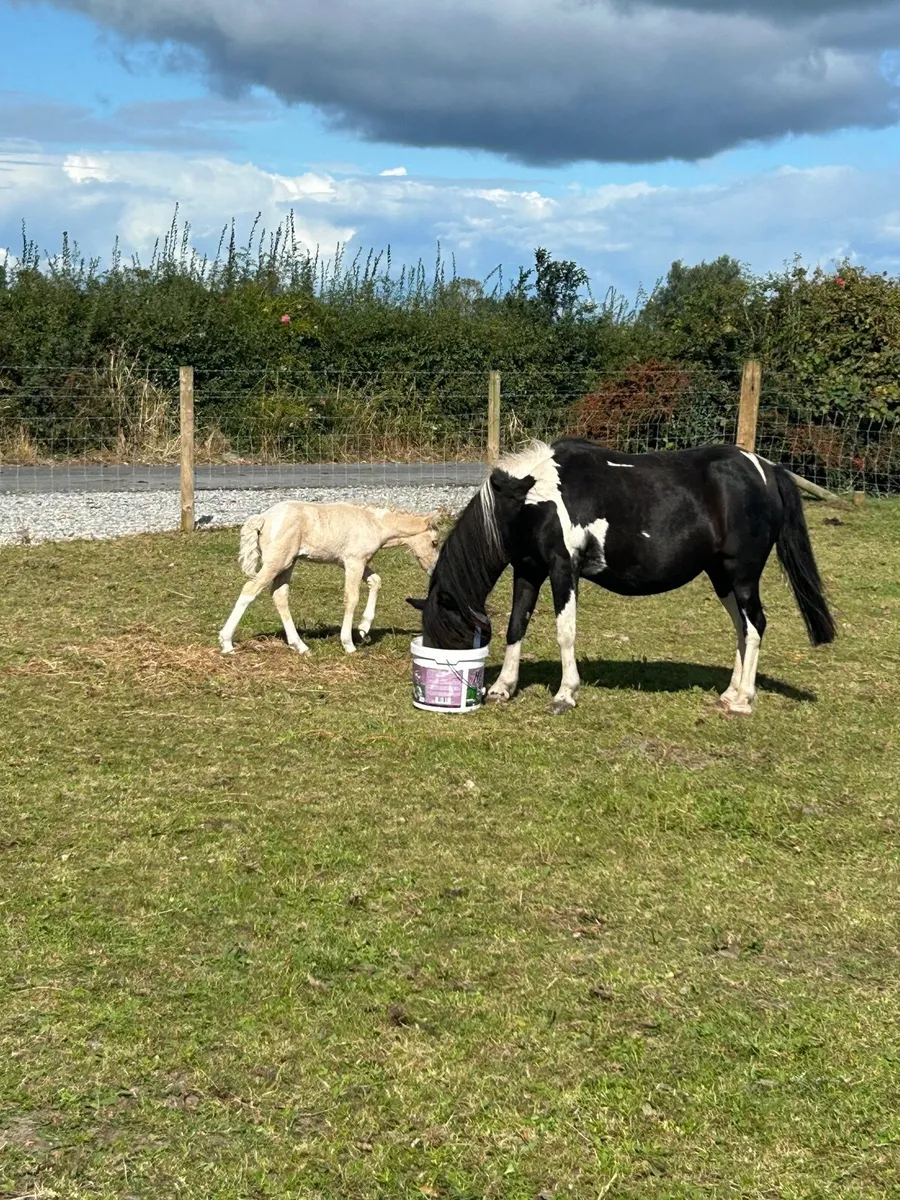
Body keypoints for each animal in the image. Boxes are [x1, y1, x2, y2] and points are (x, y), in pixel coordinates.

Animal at [220, 501, 441, 656]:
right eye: (434, 542)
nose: (434, 571)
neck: (373, 524)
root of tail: (263, 518)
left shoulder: (351, 562)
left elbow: (376, 581)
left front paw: (363, 629)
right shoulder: (354, 562)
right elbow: (351, 598)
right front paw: (348, 643)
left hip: (288, 563)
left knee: (279, 595)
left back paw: (300, 646)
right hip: (277, 562)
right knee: (250, 589)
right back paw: (227, 643)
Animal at [407, 439, 836, 715]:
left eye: (450, 633)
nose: (448, 679)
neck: (531, 496)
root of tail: (767, 470)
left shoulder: (563, 568)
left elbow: (565, 631)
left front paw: (565, 694)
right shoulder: (528, 570)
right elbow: (517, 625)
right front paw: (502, 689)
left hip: (742, 574)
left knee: (756, 625)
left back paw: (744, 699)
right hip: (721, 577)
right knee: (742, 628)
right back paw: (731, 693)